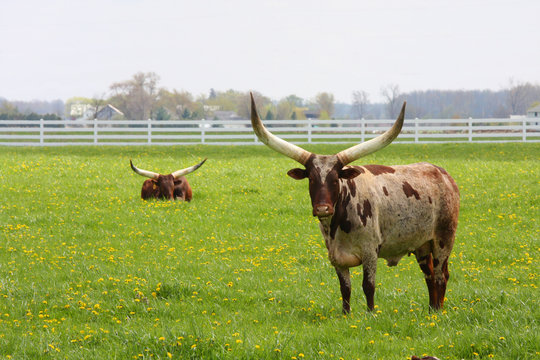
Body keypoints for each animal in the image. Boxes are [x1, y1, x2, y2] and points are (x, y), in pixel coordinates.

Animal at [251, 93, 458, 312]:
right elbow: (345, 288)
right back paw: (432, 310)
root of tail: (443, 174)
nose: (322, 208)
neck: (338, 223)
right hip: (422, 244)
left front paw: (371, 313)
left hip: (443, 240)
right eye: (312, 179)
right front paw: (346, 314)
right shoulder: (336, 257)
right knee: (429, 276)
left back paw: (438, 312)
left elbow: (368, 286)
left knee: (440, 276)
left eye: (335, 179)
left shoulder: (370, 251)